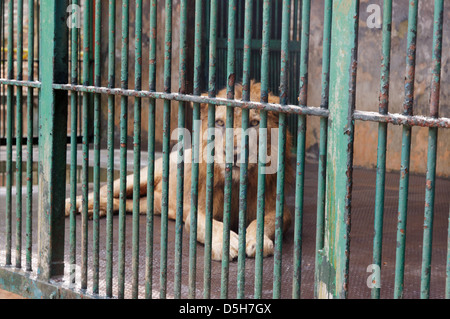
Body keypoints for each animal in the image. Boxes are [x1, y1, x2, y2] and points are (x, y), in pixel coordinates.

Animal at [65, 81, 294, 262]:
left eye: (255, 123)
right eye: (220, 123)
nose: (235, 154)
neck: (237, 184)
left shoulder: (280, 209)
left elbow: (263, 221)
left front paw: (256, 241)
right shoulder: (197, 210)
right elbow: (209, 225)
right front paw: (226, 243)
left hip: (151, 203)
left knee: (127, 202)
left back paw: (100, 209)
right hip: (140, 178)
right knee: (102, 190)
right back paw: (79, 206)